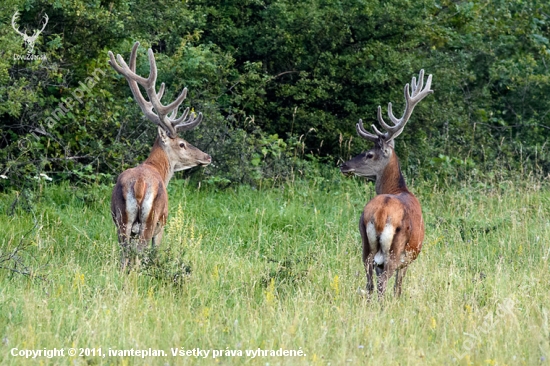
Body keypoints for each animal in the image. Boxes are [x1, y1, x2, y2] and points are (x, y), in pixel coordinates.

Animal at [108, 42, 211, 268]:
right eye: (182, 144)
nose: (207, 156)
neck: (157, 168)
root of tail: (139, 184)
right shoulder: (162, 225)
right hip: (151, 219)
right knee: (140, 252)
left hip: (122, 220)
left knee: (124, 254)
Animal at [340, 69, 436, 298]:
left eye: (369, 154)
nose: (344, 165)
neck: (399, 189)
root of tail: (381, 213)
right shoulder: (407, 260)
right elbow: (398, 288)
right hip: (395, 250)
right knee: (383, 285)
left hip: (365, 245)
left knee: (369, 284)